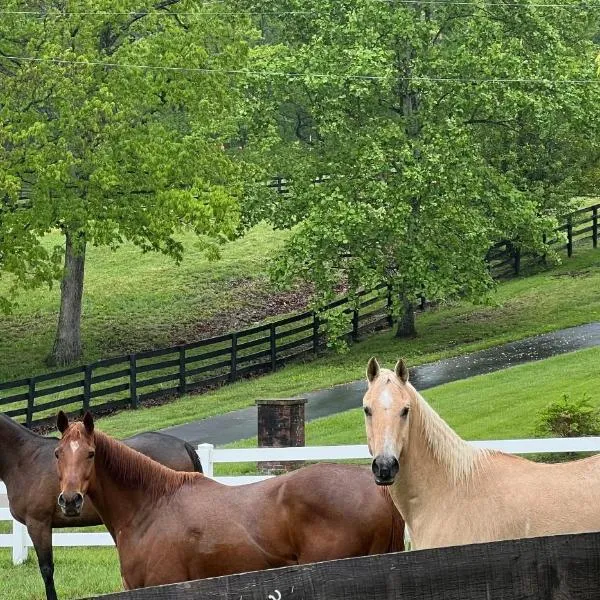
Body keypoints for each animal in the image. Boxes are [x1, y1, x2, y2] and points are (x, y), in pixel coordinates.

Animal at [0, 412, 202, 600]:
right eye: (57, 454)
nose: (70, 501)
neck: (25, 458)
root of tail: (183, 445)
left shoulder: (38, 524)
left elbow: (47, 570)